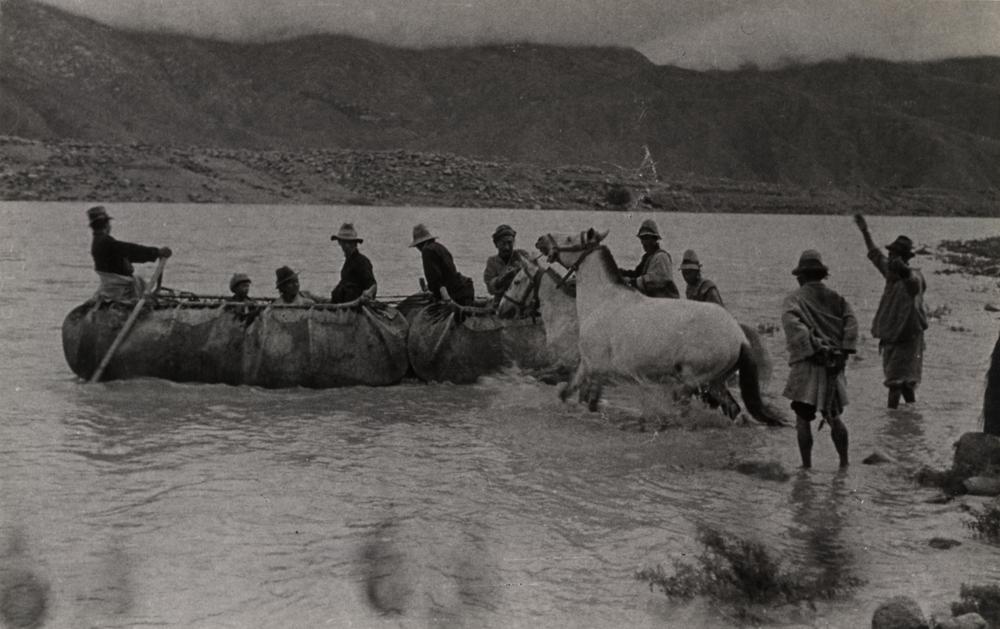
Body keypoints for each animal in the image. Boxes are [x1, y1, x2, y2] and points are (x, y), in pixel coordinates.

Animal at [540, 228, 780, 424]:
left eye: (570, 238)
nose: (541, 240)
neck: (602, 300)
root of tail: (740, 337)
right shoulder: (596, 369)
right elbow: (583, 398)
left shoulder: (591, 364)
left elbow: (572, 393)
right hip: (716, 382)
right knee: (732, 408)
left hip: (693, 381)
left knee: (688, 403)